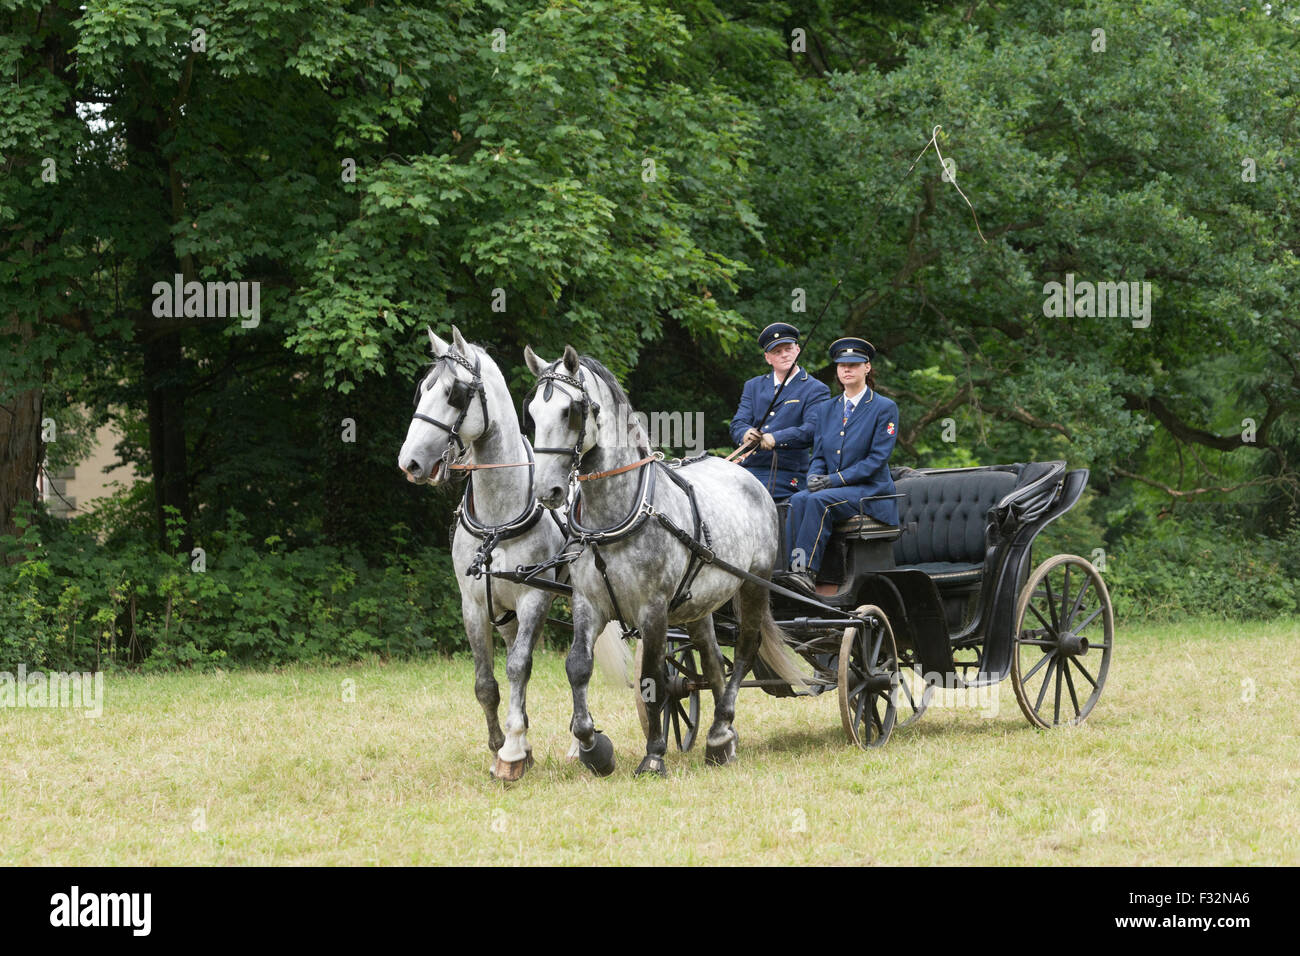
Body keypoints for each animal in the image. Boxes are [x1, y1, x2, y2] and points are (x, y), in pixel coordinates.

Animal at [397, 327, 628, 781]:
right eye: (422, 390)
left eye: (454, 393)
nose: (409, 462)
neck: (496, 518)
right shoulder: (472, 604)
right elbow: (486, 681)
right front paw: (500, 746)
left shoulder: (534, 597)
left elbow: (519, 665)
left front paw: (514, 751)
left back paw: (580, 745)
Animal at [523, 344, 809, 777]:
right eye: (533, 412)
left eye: (571, 410)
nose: (548, 490)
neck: (618, 512)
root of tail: (745, 475)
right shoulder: (588, 603)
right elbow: (578, 666)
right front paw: (592, 747)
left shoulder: (653, 609)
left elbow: (652, 677)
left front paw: (654, 754)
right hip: (698, 604)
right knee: (712, 659)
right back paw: (721, 736)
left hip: (753, 584)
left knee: (744, 649)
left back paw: (722, 727)